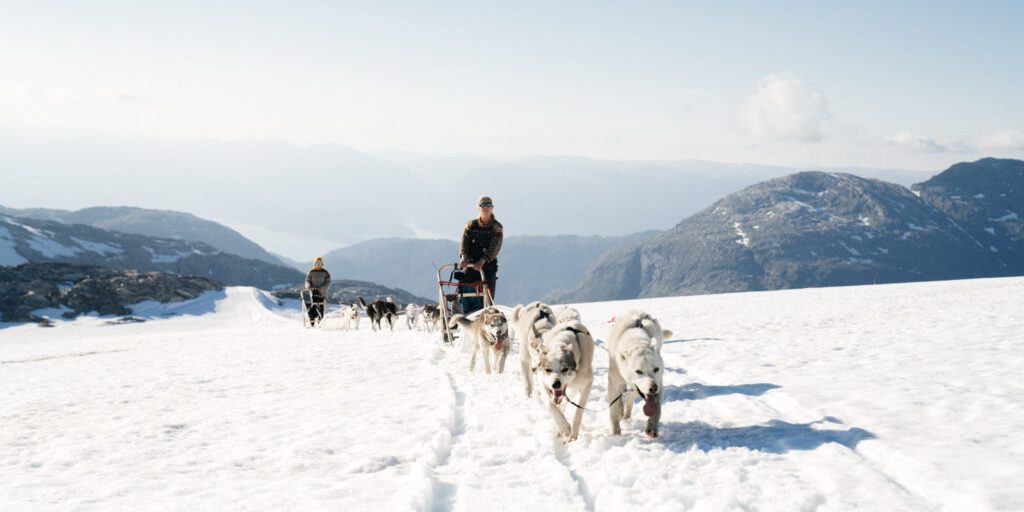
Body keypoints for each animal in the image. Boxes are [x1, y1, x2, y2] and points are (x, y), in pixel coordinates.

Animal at [606, 309, 671, 438]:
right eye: (638, 371)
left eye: (656, 369)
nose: (653, 388)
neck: (637, 340)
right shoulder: (614, 382)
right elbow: (613, 409)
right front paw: (616, 432)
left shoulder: (660, 383)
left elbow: (657, 409)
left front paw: (652, 426)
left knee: (630, 399)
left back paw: (626, 415)